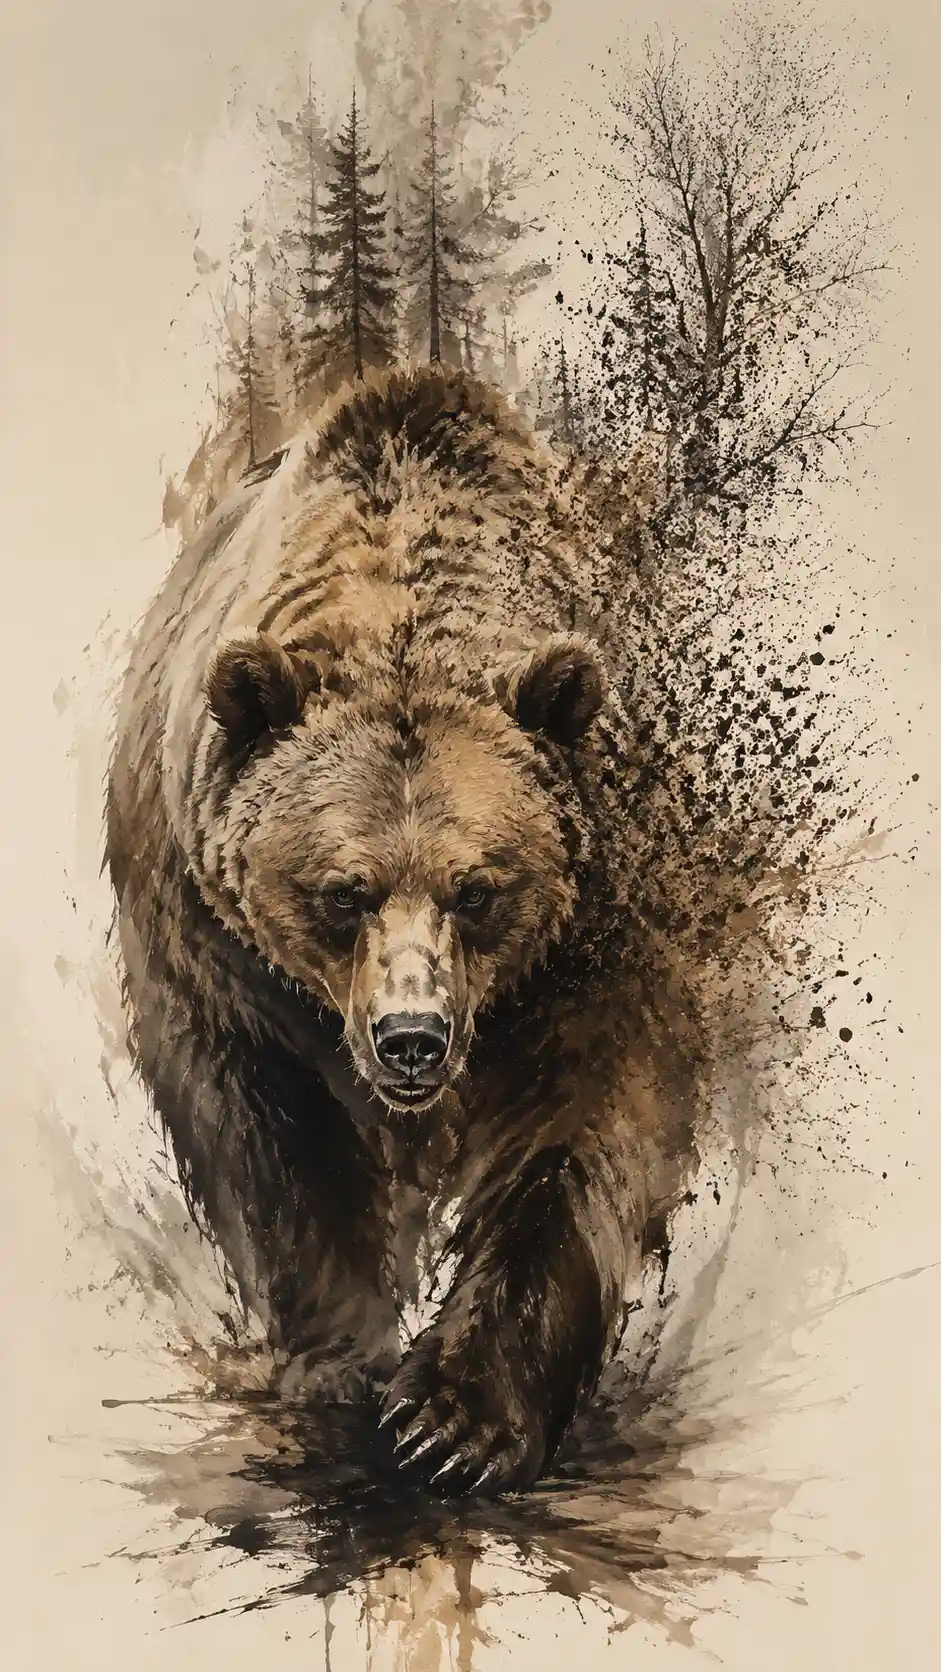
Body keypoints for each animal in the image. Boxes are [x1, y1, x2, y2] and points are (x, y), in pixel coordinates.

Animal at [106, 364, 705, 1497]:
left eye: (478, 889)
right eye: (343, 891)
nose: (411, 1038)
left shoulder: (594, 931)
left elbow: (581, 1132)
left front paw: (455, 1418)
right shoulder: (216, 944)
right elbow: (271, 1138)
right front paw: (342, 1366)